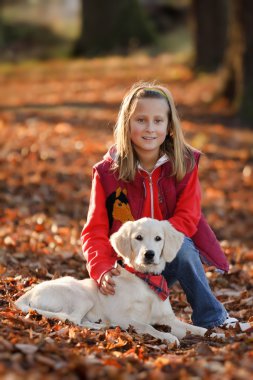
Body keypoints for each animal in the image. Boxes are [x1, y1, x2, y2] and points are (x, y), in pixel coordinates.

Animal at [15, 218, 221, 346]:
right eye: (138, 237)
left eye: (158, 238)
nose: (149, 254)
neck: (145, 281)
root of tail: (27, 293)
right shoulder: (123, 317)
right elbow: (147, 325)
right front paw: (167, 337)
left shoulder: (168, 319)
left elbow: (195, 328)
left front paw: (215, 333)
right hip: (81, 295)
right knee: (72, 319)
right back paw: (102, 326)